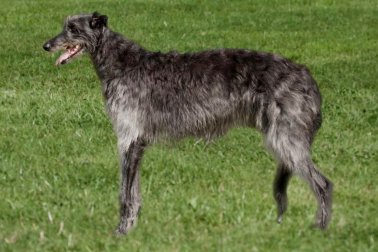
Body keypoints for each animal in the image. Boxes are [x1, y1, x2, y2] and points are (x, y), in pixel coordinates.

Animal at [42, 12, 332, 236]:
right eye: (64, 25)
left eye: (73, 28)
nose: (46, 45)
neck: (120, 64)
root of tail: (308, 77)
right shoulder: (136, 143)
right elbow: (134, 193)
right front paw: (132, 228)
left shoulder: (129, 139)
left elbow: (125, 194)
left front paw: (121, 232)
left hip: (286, 140)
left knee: (324, 184)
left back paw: (320, 229)